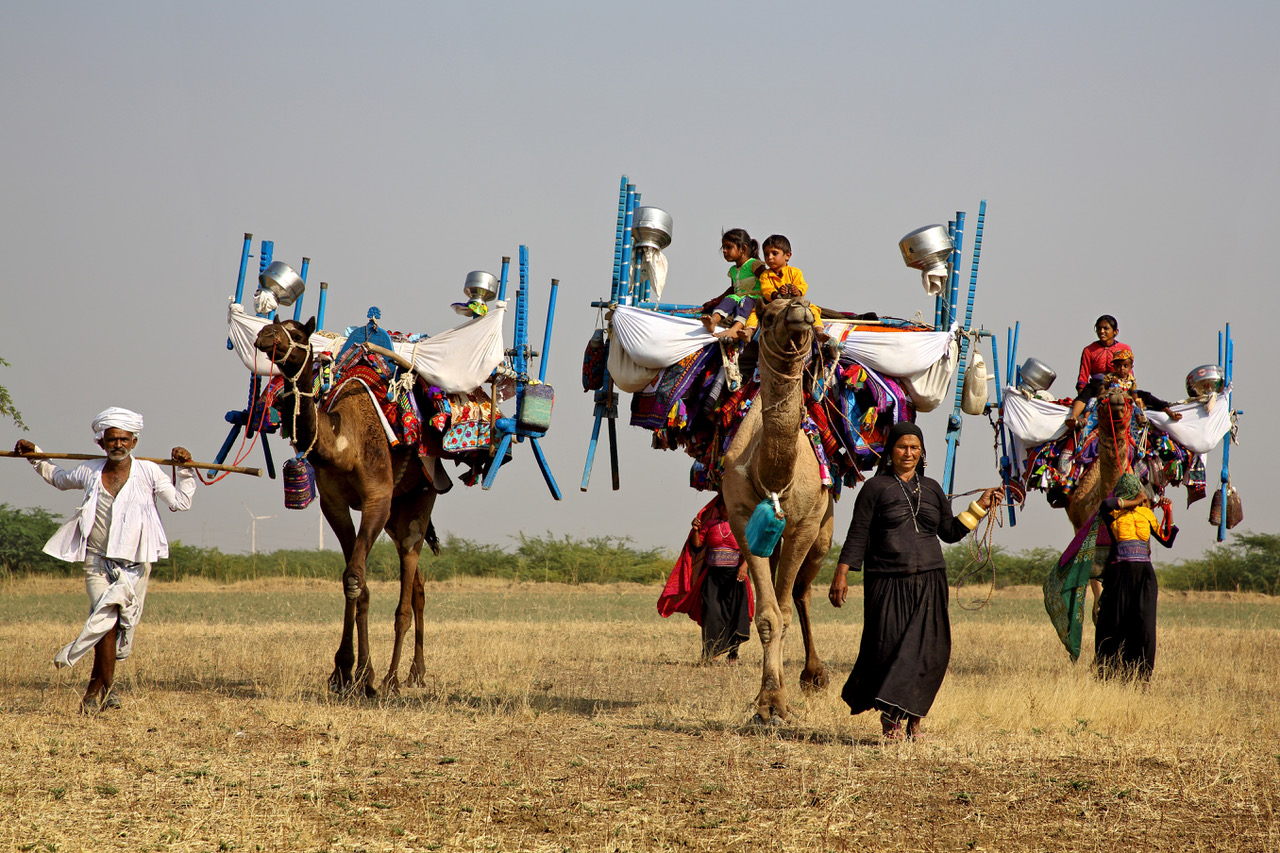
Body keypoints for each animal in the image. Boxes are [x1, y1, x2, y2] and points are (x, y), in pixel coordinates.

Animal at [254, 315, 440, 696]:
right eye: (275, 323)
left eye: (298, 333)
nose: (265, 334)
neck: (343, 444)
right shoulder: (334, 505)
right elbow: (356, 583)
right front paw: (346, 672)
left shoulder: (376, 499)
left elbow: (355, 577)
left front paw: (363, 675)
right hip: (397, 515)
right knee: (418, 587)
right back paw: (415, 672)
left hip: (419, 499)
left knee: (406, 591)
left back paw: (393, 679)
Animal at [721, 295, 839, 722]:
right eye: (769, 315)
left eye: (807, 305)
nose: (798, 309)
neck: (770, 475)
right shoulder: (742, 520)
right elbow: (769, 614)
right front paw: (769, 701)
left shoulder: (805, 525)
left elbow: (786, 610)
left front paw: (779, 701)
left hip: (823, 532)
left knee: (803, 592)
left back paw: (814, 675)